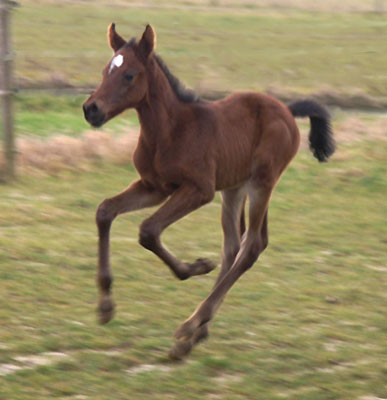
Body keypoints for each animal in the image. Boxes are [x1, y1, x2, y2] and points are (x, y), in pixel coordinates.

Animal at [83, 24, 334, 360]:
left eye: (129, 75)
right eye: (104, 71)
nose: (91, 109)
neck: (169, 131)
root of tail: (287, 108)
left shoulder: (199, 190)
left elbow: (148, 230)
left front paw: (195, 267)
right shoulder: (154, 187)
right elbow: (105, 211)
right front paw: (105, 307)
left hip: (262, 183)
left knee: (251, 245)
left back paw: (190, 326)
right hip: (234, 188)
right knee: (234, 247)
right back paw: (195, 334)